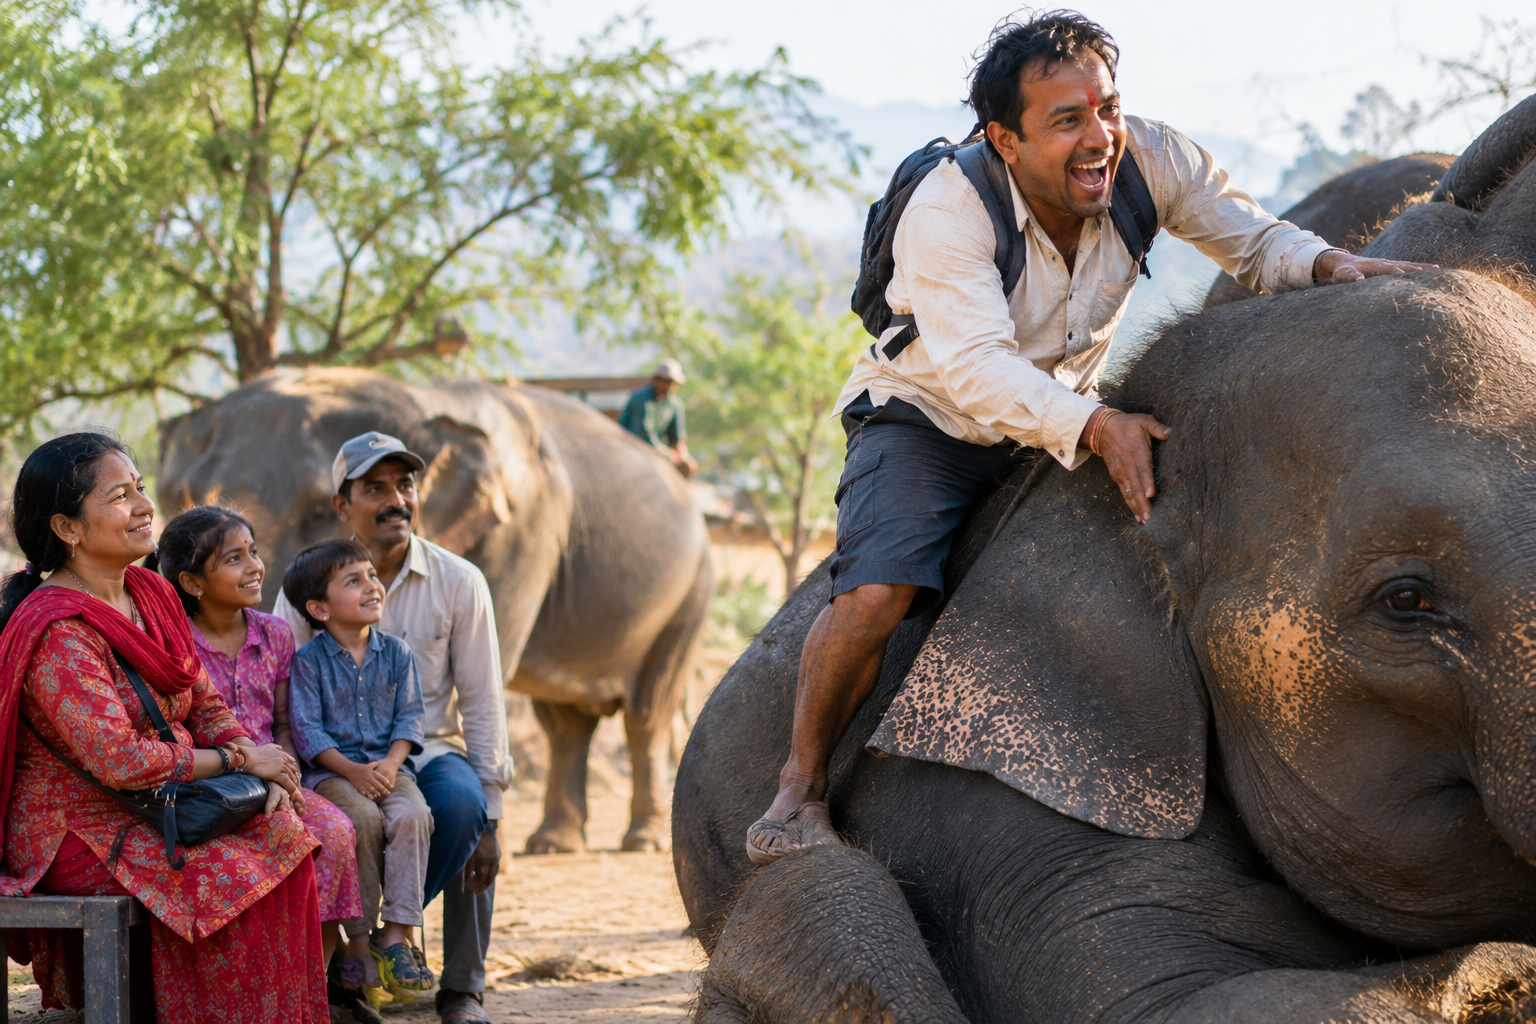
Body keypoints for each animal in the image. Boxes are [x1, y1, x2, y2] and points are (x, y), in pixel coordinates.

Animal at [159, 367, 713, 853]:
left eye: (317, 509)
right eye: (182, 495)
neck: (426, 398)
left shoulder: (526, 531)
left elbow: (486, 675)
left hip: (691, 589)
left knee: (646, 711)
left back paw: (639, 839)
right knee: (565, 722)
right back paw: (552, 843)